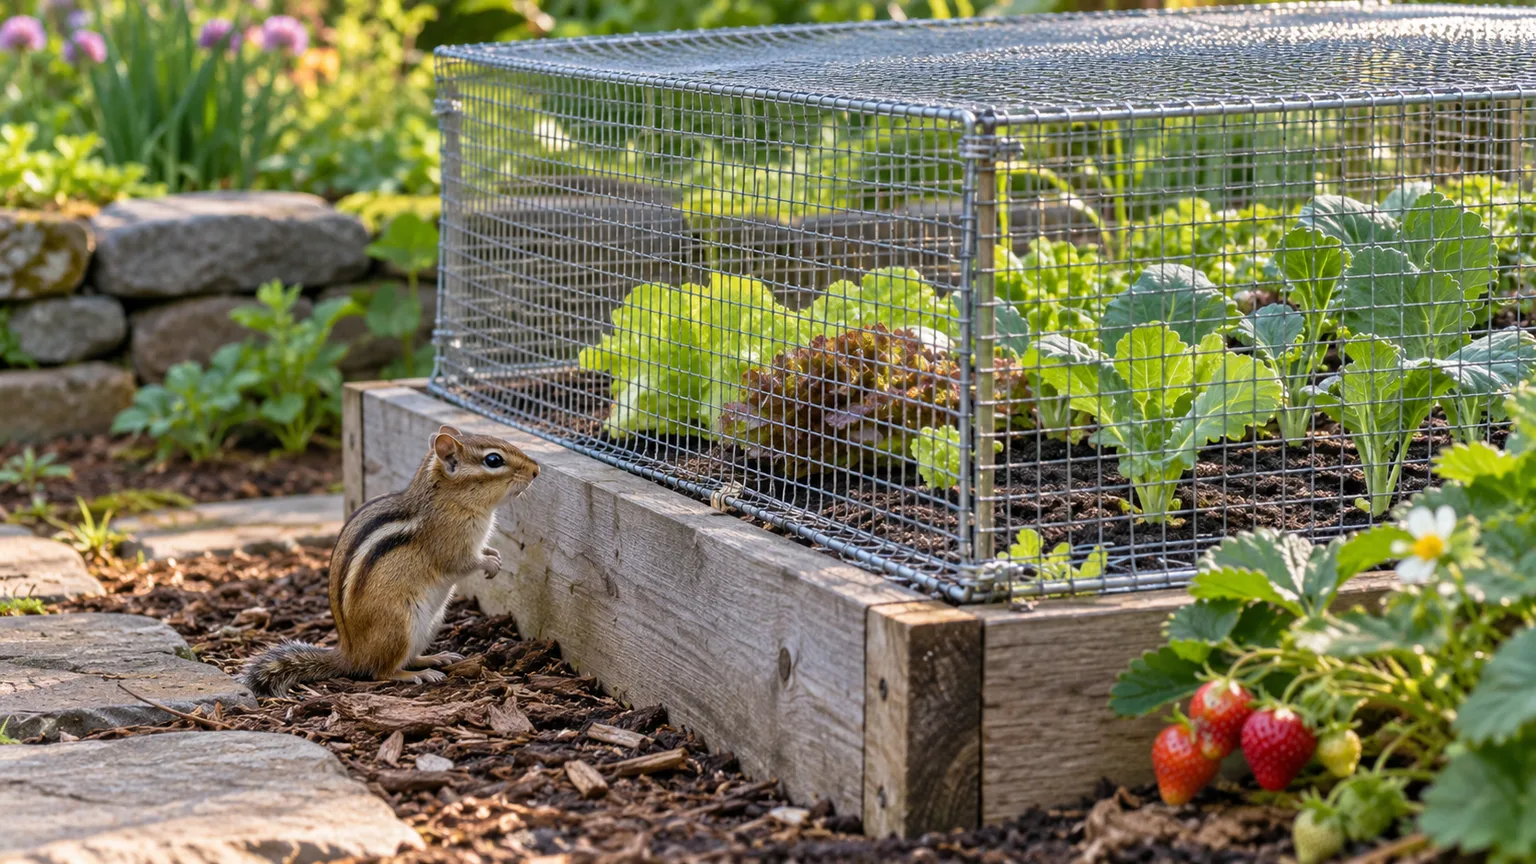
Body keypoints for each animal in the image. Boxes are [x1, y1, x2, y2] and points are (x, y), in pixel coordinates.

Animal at [241, 425, 539, 697]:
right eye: (493, 460)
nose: (536, 470)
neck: (447, 498)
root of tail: (350, 653)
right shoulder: (450, 543)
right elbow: (463, 564)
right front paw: (490, 564)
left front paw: (494, 556)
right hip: (400, 625)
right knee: (381, 672)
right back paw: (417, 674)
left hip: (430, 624)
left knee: (409, 657)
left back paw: (434, 658)